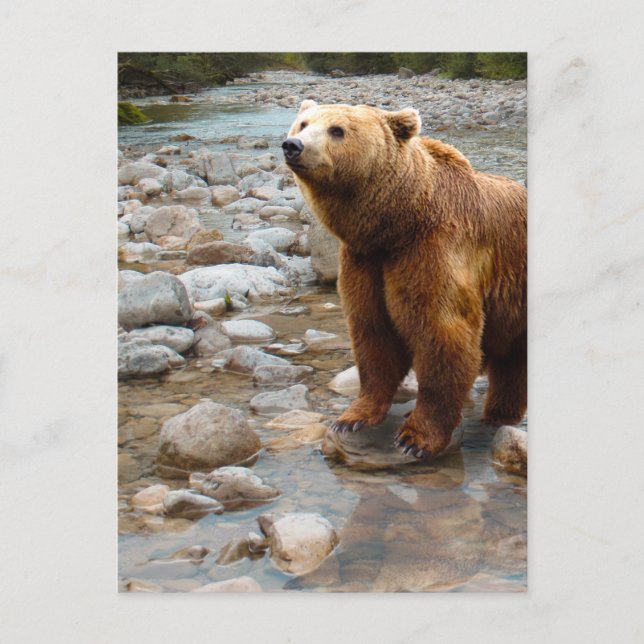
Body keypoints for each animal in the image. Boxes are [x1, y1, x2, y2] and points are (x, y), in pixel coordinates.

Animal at [282, 100, 527, 458]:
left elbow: (443, 334)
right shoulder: (366, 262)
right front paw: (352, 417)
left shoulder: (432, 250)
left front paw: (415, 438)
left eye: (337, 130)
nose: (293, 146)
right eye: (303, 123)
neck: (397, 224)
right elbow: (373, 334)